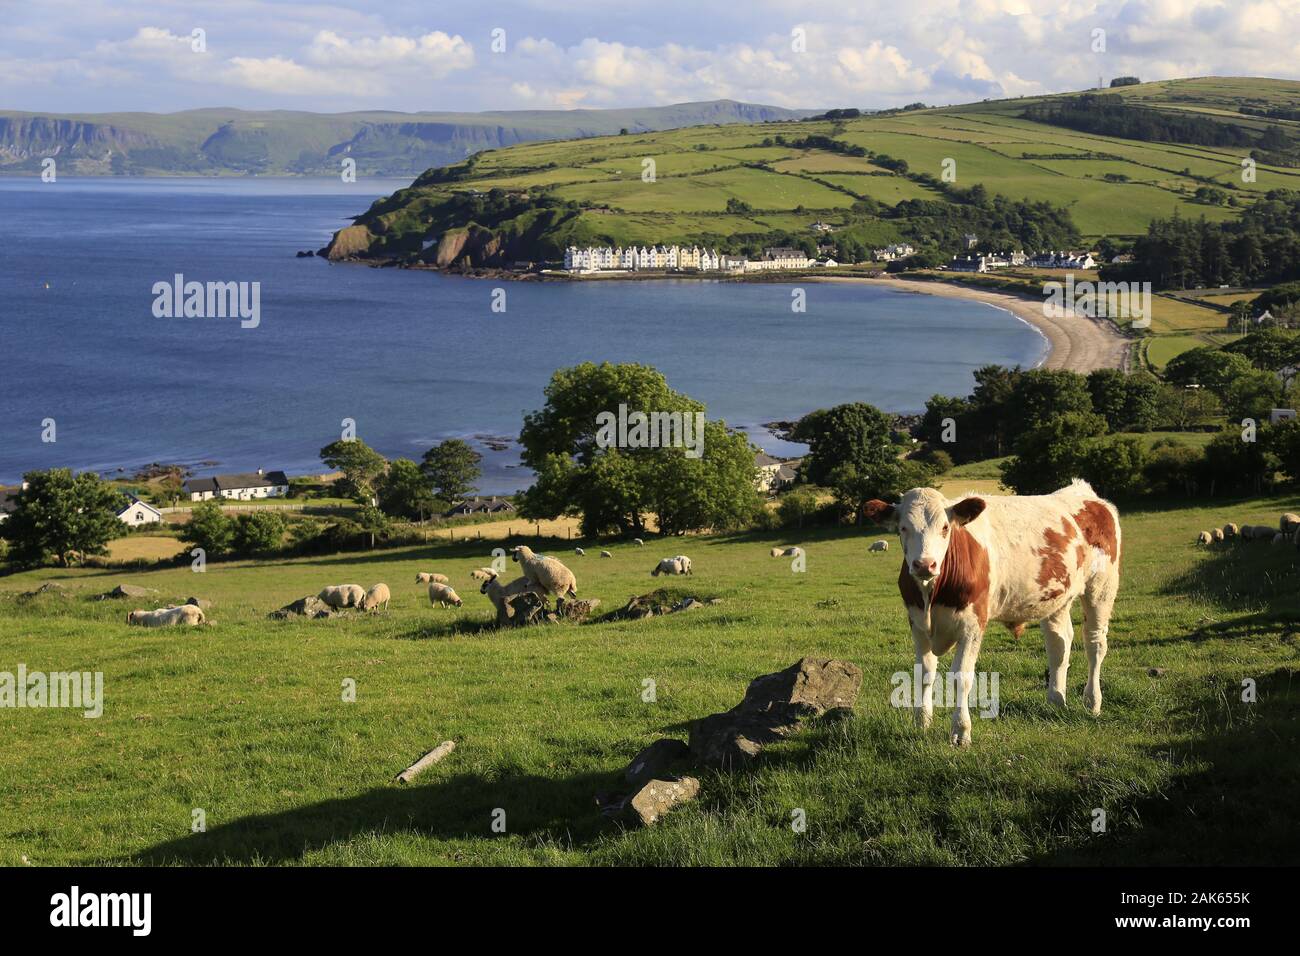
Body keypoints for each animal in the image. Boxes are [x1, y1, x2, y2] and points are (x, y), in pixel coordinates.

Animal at [863, 481, 1118, 743]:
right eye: (903, 528)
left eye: (945, 527)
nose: (925, 564)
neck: (931, 594)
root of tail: (1083, 492)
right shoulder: (917, 622)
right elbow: (924, 672)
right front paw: (922, 722)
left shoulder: (973, 624)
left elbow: (961, 677)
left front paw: (961, 731)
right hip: (1056, 598)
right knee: (1059, 645)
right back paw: (1056, 700)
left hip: (1101, 587)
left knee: (1095, 644)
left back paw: (1092, 701)